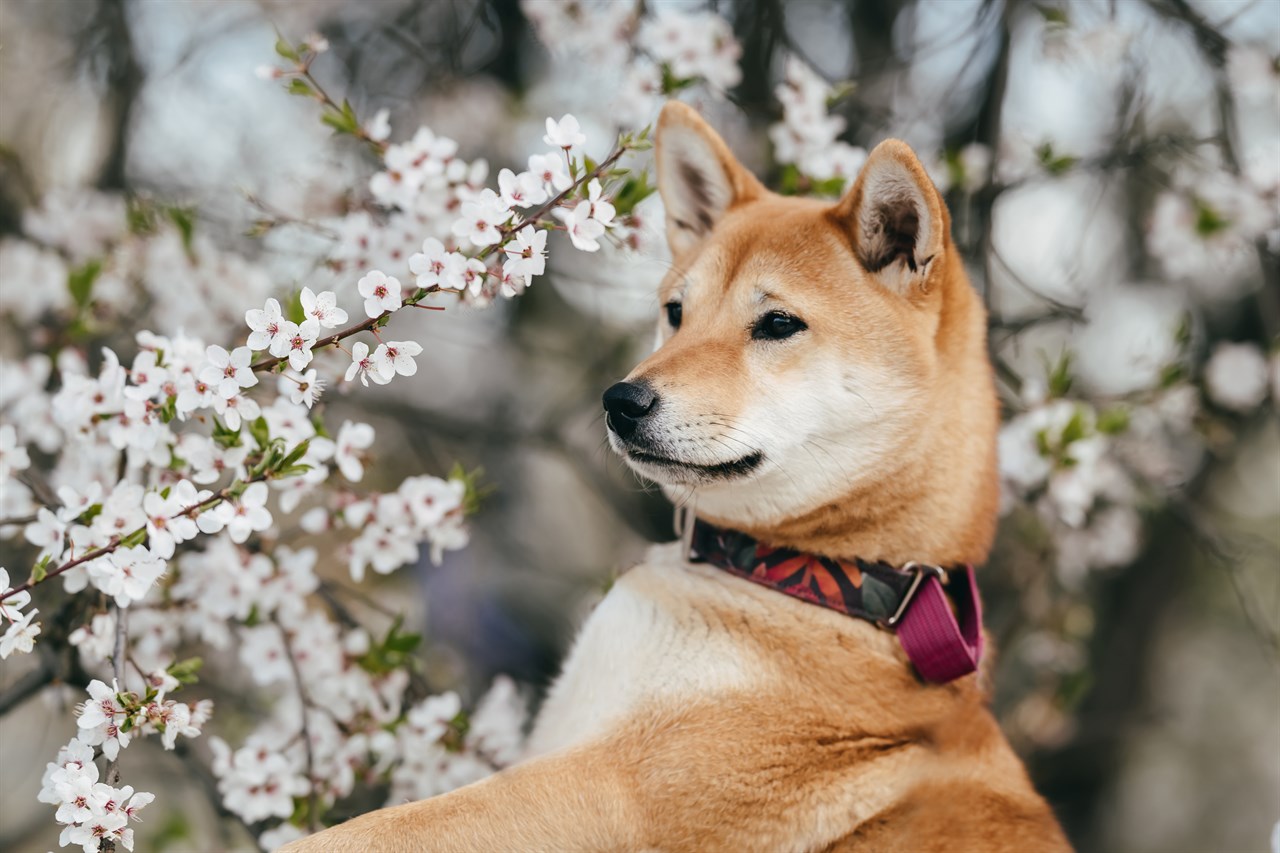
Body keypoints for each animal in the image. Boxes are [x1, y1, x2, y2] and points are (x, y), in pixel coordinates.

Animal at [288, 104, 1070, 850]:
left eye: (778, 323)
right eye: (675, 313)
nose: (620, 400)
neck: (829, 578)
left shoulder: (613, 790)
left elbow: (371, 832)